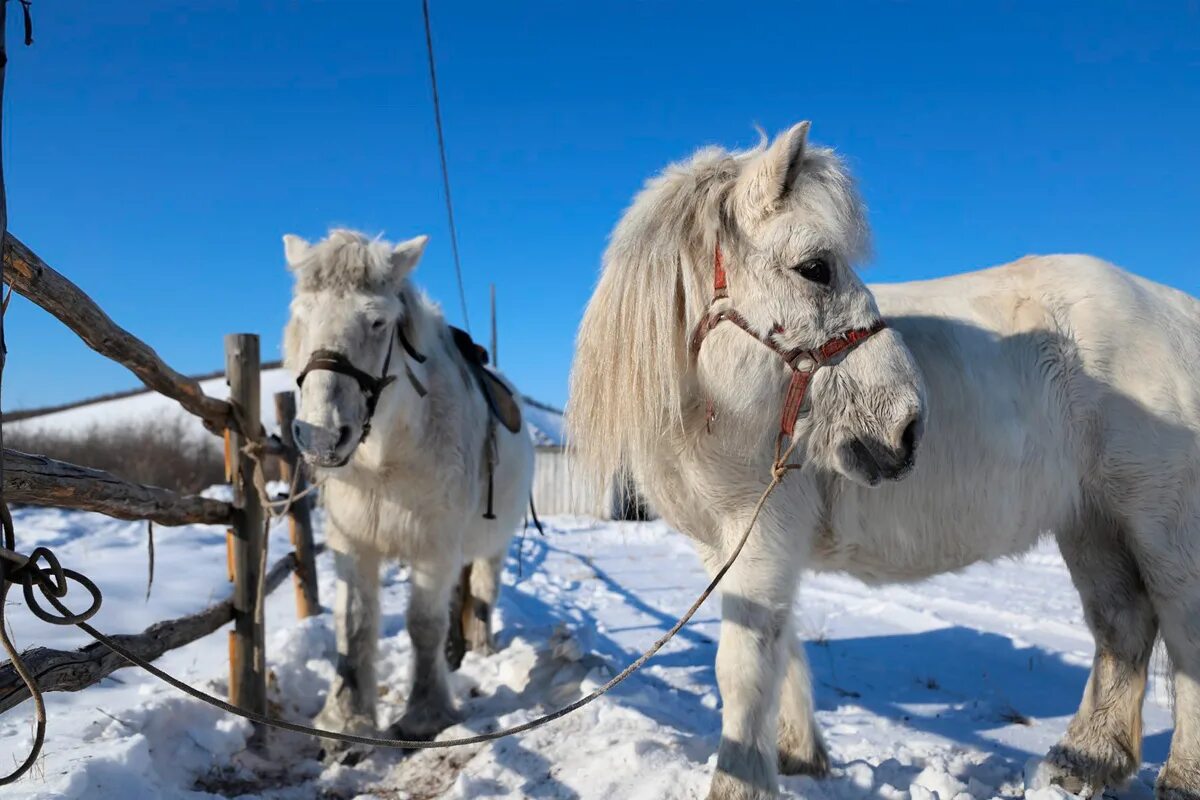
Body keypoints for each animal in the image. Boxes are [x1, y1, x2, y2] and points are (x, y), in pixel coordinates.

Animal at [283, 227, 532, 748]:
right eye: (302, 315)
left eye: (377, 321)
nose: (321, 436)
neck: (386, 460)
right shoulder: (353, 545)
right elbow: (354, 626)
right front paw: (345, 722)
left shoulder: (433, 549)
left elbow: (423, 626)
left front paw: (424, 716)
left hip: (492, 545)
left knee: (482, 590)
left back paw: (480, 649)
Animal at [566, 120, 1200, 800]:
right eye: (815, 268)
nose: (908, 425)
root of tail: (1176, 311)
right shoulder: (729, 545)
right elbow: (780, 648)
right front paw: (797, 754)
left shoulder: (761, 536)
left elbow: (744, 667)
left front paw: (743, 780)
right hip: (1090, 521)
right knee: (1122, 621)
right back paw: (1085, 760)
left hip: (1161, 524)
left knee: (1184, 626)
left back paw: (1180, 777)